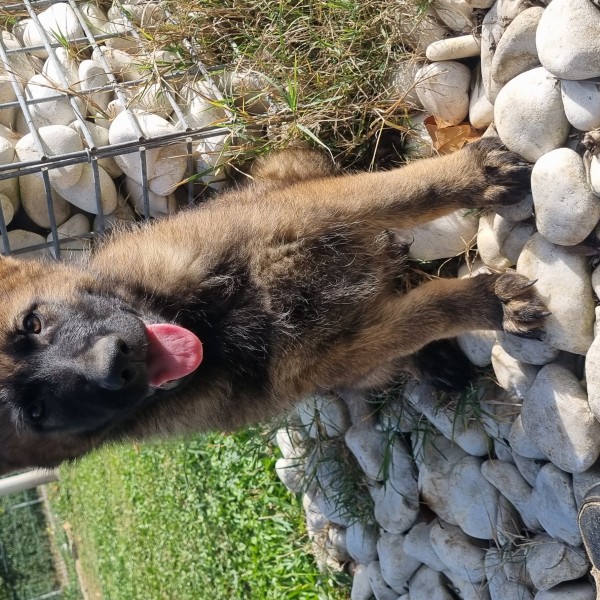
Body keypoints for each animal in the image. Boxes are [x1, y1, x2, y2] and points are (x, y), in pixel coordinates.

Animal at [0, 139, 548, 474]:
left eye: (33, 323)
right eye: (37, 411)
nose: (116, 363)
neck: (218, 324)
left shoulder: (320, 207)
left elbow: (410, 190)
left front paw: (474, 176)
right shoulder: (345, 349)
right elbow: (427, 313)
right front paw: (488, 303)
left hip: (292, 171)